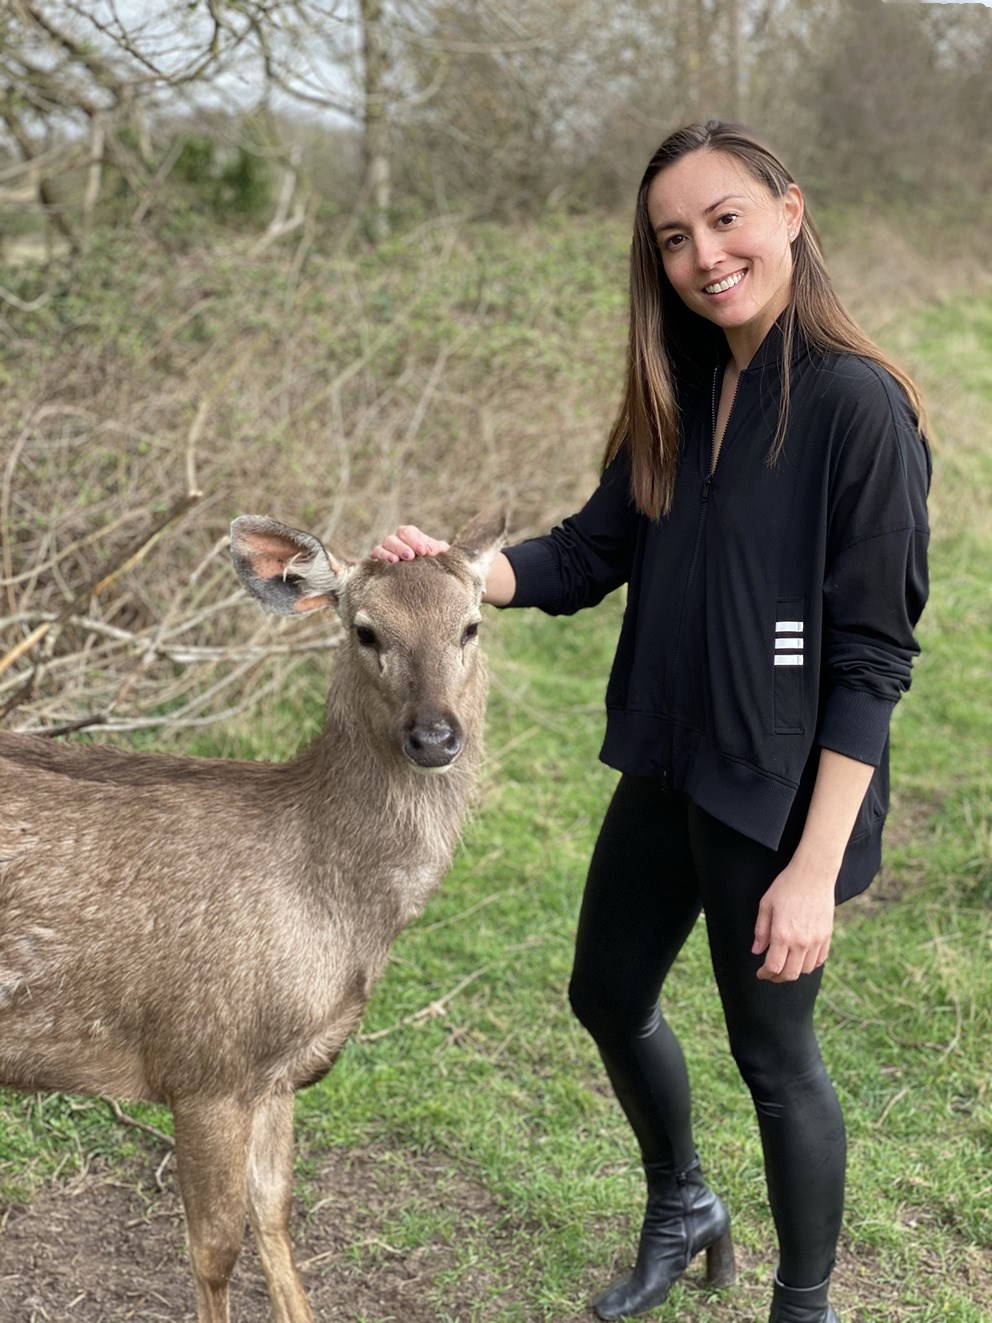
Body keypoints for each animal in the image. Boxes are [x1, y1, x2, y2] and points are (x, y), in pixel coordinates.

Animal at [0, 505, 507, 1323]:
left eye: (471, 625)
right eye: (365, 630)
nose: (434, 735)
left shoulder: (277, 1074)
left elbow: (275, 1215)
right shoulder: (206, 1059)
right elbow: (215, 1248)